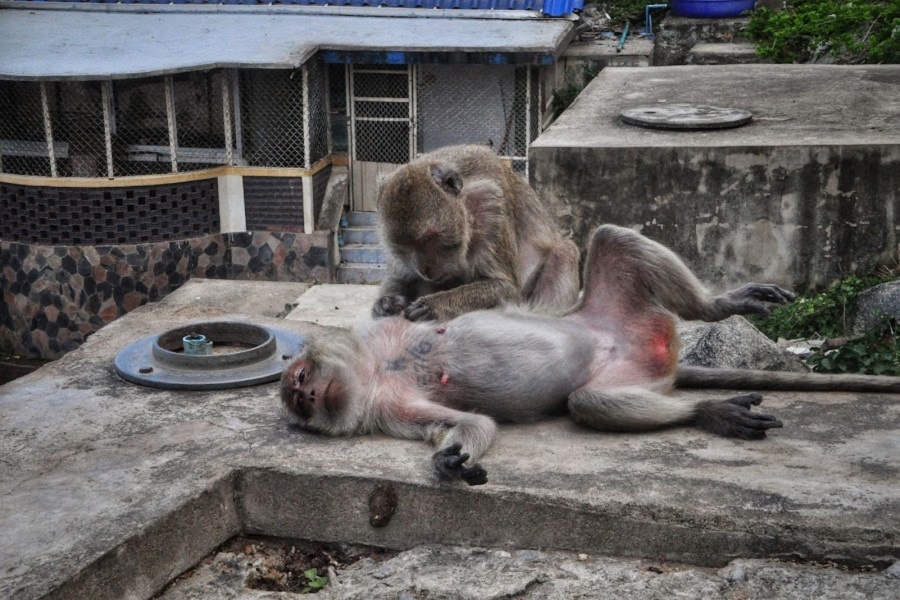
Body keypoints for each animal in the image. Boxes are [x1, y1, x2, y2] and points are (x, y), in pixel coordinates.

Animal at [283, 225, 900, 486]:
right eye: (300, 404)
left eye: (301, 377)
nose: (308, 392)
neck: (376, 367)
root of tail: (652, 350)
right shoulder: (386, 408)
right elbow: (470, 423)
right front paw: (449, 459)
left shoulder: (377, 338)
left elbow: (411, 307)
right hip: (632, 366)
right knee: (590, 400)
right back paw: (705, 410)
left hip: (614, 311)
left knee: (611, 238)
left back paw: (719, 304)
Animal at [372, 144, 580, 322]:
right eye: (404, 246)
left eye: (430, 239)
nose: (426, 270)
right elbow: (400, 277)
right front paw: (386, 303)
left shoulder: (491, 207)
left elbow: (506, 288)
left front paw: (434, 305)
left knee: (564, 250)